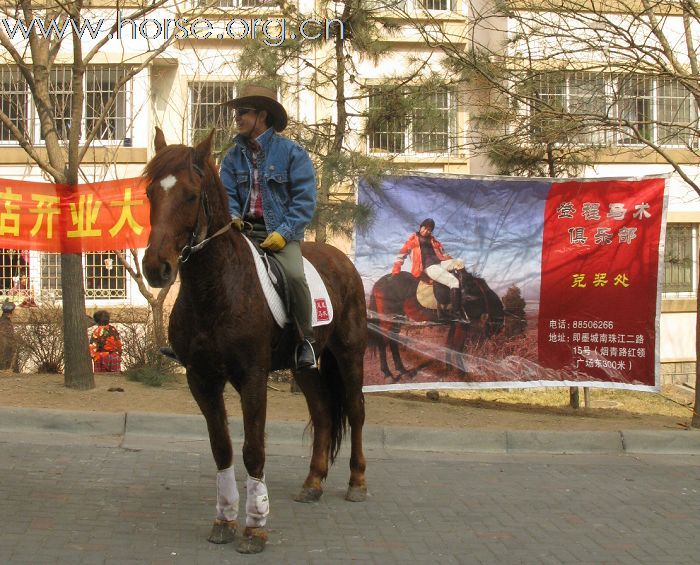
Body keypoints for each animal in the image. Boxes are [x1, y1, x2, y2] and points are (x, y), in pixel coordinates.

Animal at [144, 126, 372, 552]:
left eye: (189, 195)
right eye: (150, 193)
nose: (155, 268)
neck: (216, 288)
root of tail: (341, 259)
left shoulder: (252, 378)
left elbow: (253, 450)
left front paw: (254, 526)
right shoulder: (201, 379)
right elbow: (222, 448)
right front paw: (224, 519)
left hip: (350, 354)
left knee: (355, 410)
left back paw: (357, 482)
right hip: (305, 367)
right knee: (322, 412)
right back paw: (313, 483)